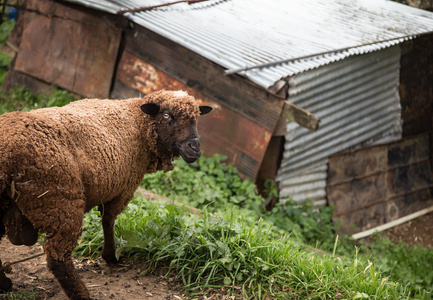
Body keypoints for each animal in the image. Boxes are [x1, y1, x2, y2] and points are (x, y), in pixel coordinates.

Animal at [0, 90, 211, 300]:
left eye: (195, 119)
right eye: (167, 116)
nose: (195, 148)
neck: (139, 121)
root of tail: (6, 155)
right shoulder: (125, 188)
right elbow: (108, 220)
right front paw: (110, 255)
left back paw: (5, 283)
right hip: (59, 201)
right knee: (58, 258)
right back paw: (82, 295)